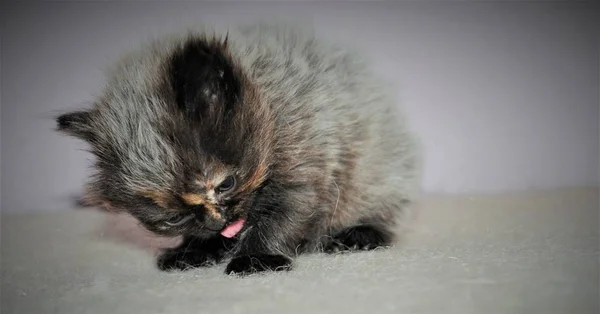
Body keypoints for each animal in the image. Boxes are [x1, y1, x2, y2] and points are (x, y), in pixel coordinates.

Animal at [56, 22, 422, 276]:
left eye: (226, 184)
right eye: (172, 218)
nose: (218, 221)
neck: (268, 107)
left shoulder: (307, 166)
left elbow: (279, 220)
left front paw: (256, 259)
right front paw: (194, 250)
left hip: (380, 173)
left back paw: (356, 235)